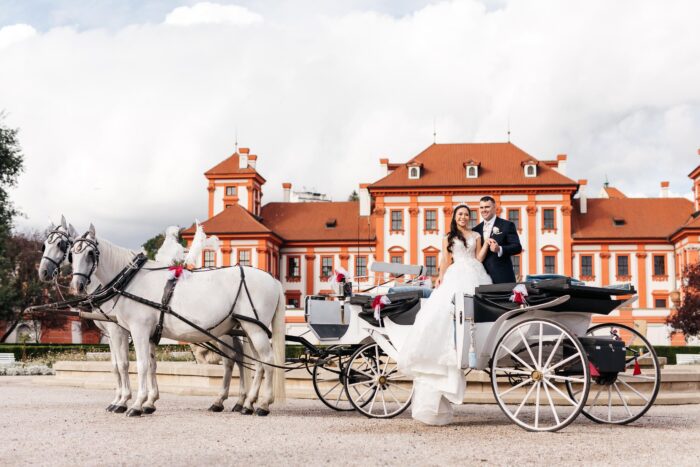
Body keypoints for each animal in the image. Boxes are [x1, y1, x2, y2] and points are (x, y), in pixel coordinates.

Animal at [66, 225, 284, 418]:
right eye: (72, 255)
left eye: (90, 254)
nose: (77, 285)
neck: (130, 281)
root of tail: (273, 280)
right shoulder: (147, 334)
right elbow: (150, 365)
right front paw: (148, 402)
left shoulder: (134, 331)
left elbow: (137, 365)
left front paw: (134, 403)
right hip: (248, 329)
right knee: (254, 363)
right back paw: (245, 403)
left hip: (254, 330)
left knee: (266, 361)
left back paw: (262, 404)